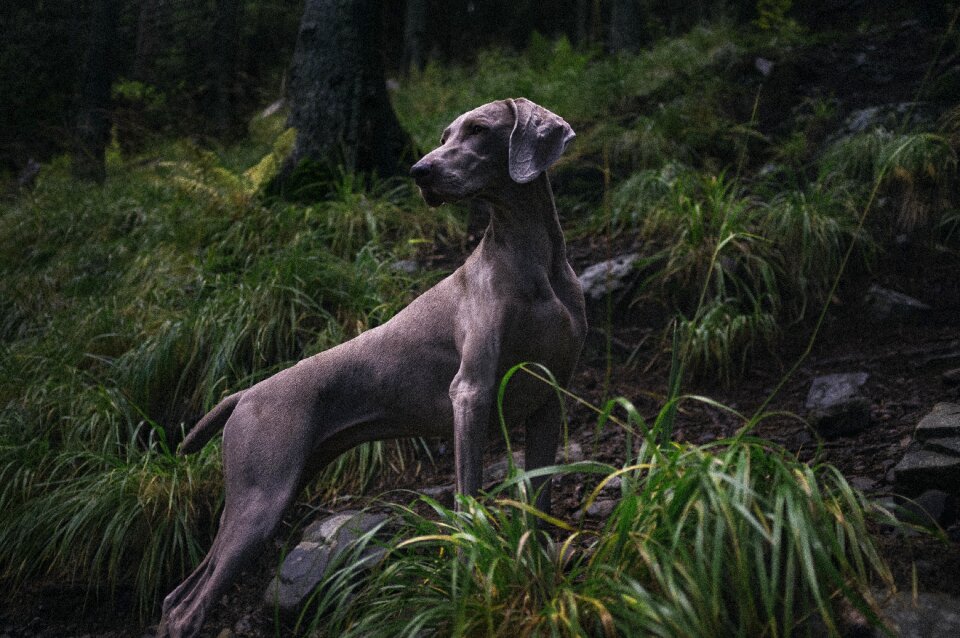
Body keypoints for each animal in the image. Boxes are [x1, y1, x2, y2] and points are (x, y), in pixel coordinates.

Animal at [159, 97, 584, 636]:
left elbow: (540, 502)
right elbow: (468, 498)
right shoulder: (471, 393)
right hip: (259, 500)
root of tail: (244, 393)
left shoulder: (551, 397)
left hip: (268, 492)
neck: (532, 259)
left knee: (176, 595)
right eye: (444, 135)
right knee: (188, 607)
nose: (419, 171)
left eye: (478, 129)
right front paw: (473, 568)